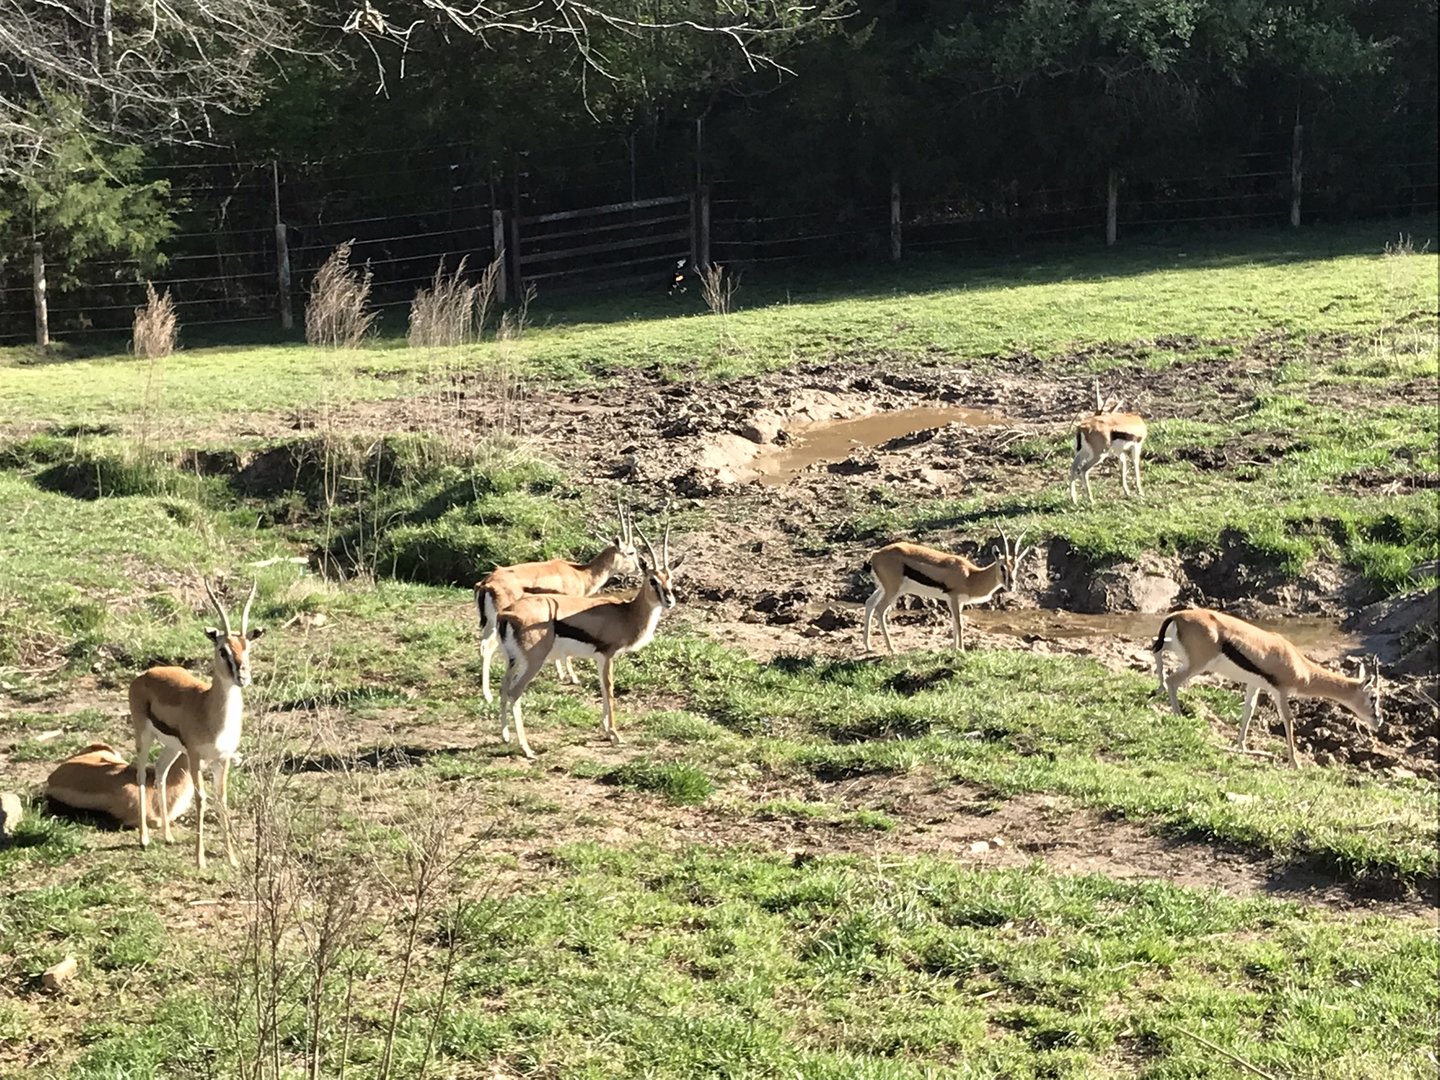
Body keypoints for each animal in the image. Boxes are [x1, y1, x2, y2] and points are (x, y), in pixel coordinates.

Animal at [130, 579, 263, 869]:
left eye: (247, 647)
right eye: (223, 650)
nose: (243, 677)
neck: (210, 713)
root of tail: (144, 675)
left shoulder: (221, 759)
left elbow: (221, 799)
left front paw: (232, 859)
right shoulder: (195, 757)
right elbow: (202, 799)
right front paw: (200, 860)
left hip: (172, 748)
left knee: (160, 772)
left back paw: (168, 836)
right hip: (144, 737)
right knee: (141, 774)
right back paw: (144, 839)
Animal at [474, 500, 641, 701]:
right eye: (631, 552)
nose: (640, 568)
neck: (580, 573)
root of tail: (486, 583)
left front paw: (561, 673)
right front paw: (573, 677)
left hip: (490, 624)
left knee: (484, 647)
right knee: (489, 647)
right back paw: (488, 695)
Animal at [495, 521, 684, 759]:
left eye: (670, 579)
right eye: (653, 580)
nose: (669, 600)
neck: (625, 614)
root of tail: (507, 614)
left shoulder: (598, 658)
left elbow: (602, 688)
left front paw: (606, 731)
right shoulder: (607, 655)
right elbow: (609, 688)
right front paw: (615, 735)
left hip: (512, 660)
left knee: (503, 688)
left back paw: (505, 736)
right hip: (533, 662)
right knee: (514, 693)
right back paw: (527, 749)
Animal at [863, 530, 1036, 654]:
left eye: (1016, 567)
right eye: (1002, 567)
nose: (1011, 586)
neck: (970, 576)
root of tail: (875, 555)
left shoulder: (957, 602)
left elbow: (954, 623)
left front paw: (954, 649)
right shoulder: (953, 598)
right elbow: (959, 624)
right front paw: (962, 651)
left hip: (883, 588)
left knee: (869, 603)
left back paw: (868, 646)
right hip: (893, 590)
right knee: (880, 609)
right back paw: (891, 649)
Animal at [1152, 607, 1381, 768]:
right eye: (1373, 698)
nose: (1378, 720)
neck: (1298, 664)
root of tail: (1178, 615)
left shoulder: (1254, 684)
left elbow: (1249, 710)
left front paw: (1242, 747)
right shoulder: (1280, 692)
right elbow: (1287, 719)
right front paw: (1295, 764)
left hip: (1182, 652)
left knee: (1156, 645)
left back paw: (1158, 690)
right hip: (1198, 664)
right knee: (1173, 680)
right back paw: (1178, 716)